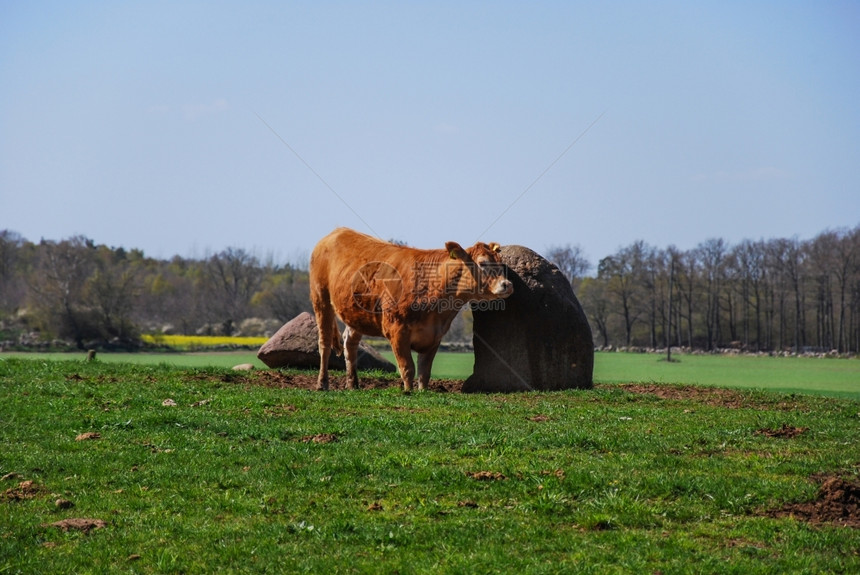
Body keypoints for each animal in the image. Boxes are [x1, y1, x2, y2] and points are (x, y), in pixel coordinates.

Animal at [310, 227, 510, 394]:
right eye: (483, 263)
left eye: (500, 263)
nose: (507, 284)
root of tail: (338, 231)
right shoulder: (396, 330)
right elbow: (407, 368)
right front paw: (408, 391)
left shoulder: (435, 335)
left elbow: (424, 371)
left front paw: (422, 391)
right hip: (320, 298)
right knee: (324, 343)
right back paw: (322, 384)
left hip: (355, 313)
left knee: (349, 344)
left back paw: (353, 384)